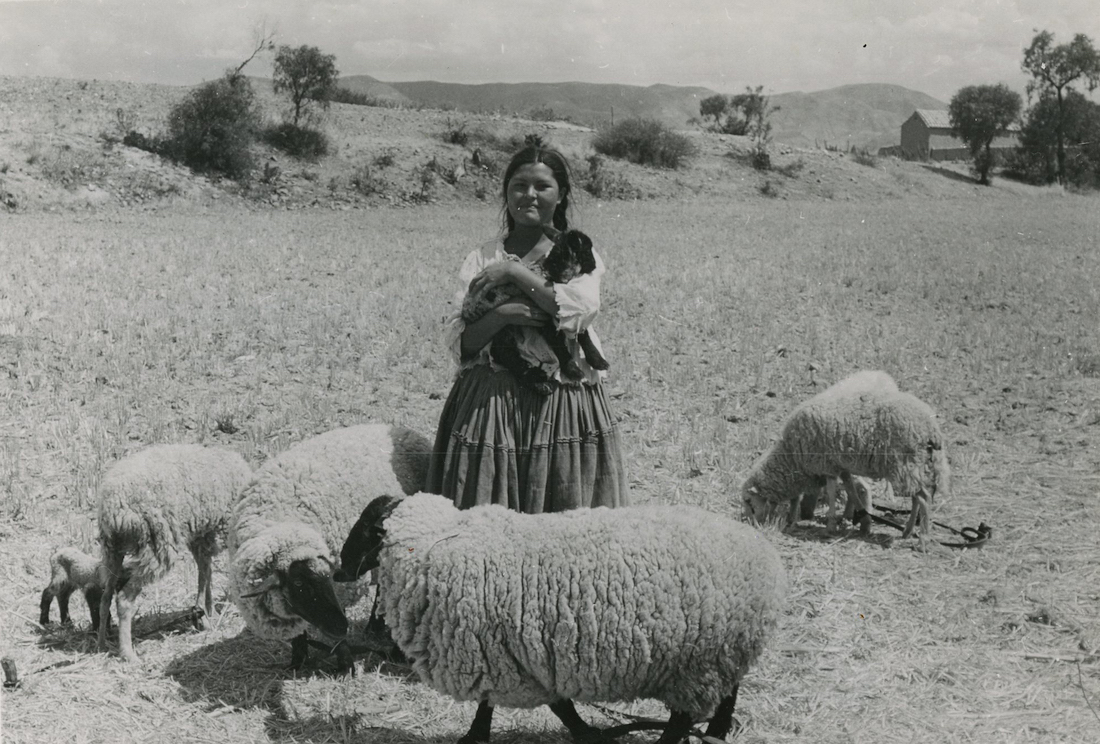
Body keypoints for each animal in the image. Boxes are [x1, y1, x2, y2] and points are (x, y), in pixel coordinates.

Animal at [94, 444, 253, 660]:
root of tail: (115, 506)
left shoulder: (201, 535)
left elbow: (206, 573)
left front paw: (208, 613)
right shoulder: (211, 534)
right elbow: (204, 575)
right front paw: (204, 615)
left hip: (112, 549)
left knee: (105, 596)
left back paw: (102, 644)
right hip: (157, 544)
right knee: (123, 600)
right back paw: (128, 654)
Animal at [226, 420, 429, 669]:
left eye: (327, 577)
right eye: (299, 584)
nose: (342, 626)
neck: (281, 521)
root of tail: (408, 431)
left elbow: (338, 641)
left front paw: (346, 666)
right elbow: (300, 634)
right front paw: (297, 662)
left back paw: (375, 627)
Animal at [332, 493, 783, 743]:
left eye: (366, 528)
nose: (338, 570)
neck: (435, 543)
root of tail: (762, 554)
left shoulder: (503, 658)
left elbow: (546, 707)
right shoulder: (520, 659)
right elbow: (539, 705)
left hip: (698, 661)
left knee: (682, 719)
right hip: (723, 654)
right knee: (726, 699)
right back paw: (716, 736)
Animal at [743, 369, 950, 541]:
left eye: (749, 502)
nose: (751, 525)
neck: (792, 455)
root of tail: (931, 428)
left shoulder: (827, 465)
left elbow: (833, 492)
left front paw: (831, 526)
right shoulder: (840, 466)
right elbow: (851, 488)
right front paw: (860, 518)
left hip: (906, 464)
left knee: (923, 498)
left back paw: (923, 537)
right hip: (916, 465)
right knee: (917, 497)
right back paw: (908, 531)